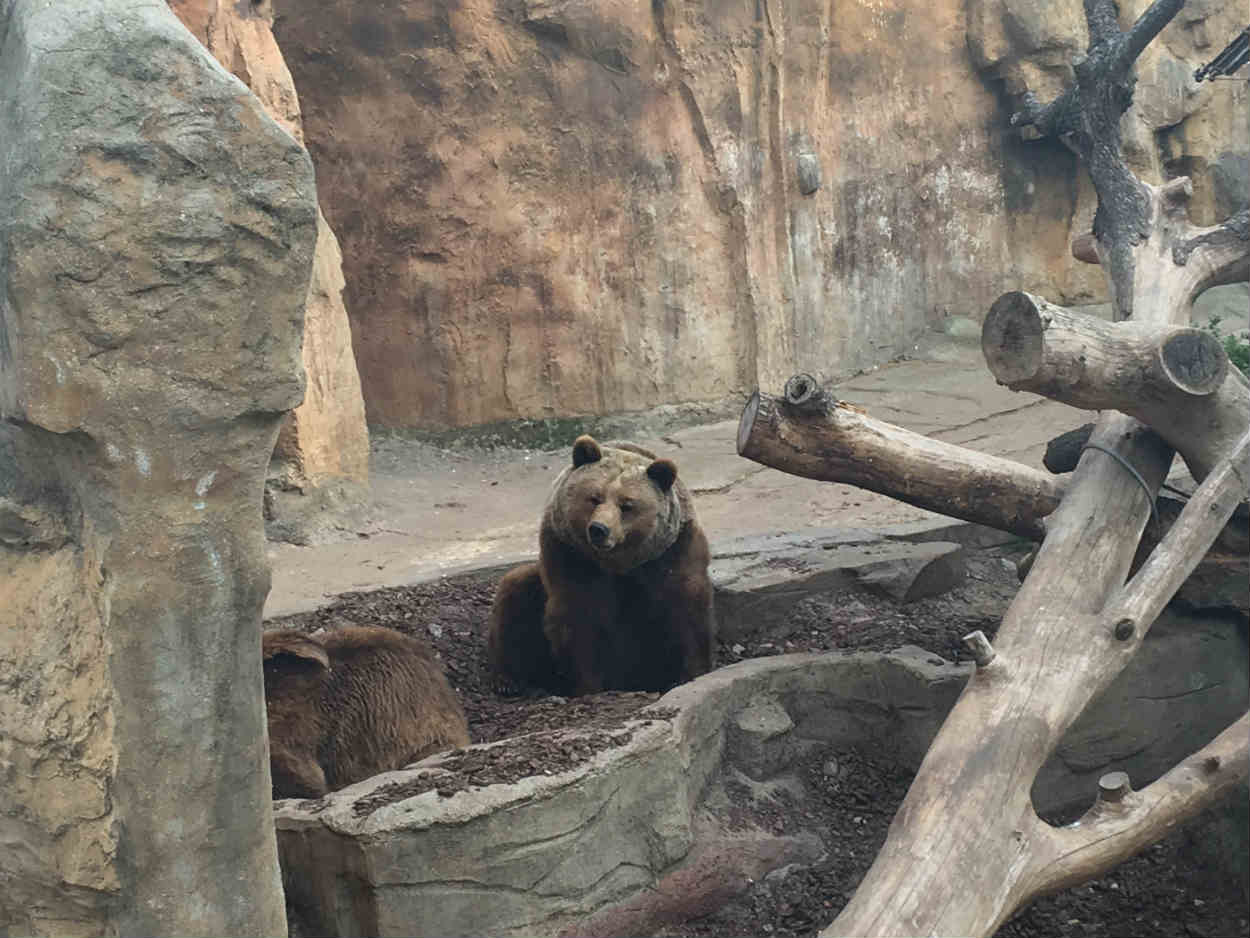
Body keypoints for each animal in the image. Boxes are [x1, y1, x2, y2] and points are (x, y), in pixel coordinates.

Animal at [485, 435, 715, 700]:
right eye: (594, 498)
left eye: (627, 505)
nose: (599, 529)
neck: (620, 564)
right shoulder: (572, 555)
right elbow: (580, 616)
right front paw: (588, 686)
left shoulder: (672, 552)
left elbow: (688, 608)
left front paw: (691, 674)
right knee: (514, 594)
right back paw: (508, 680)